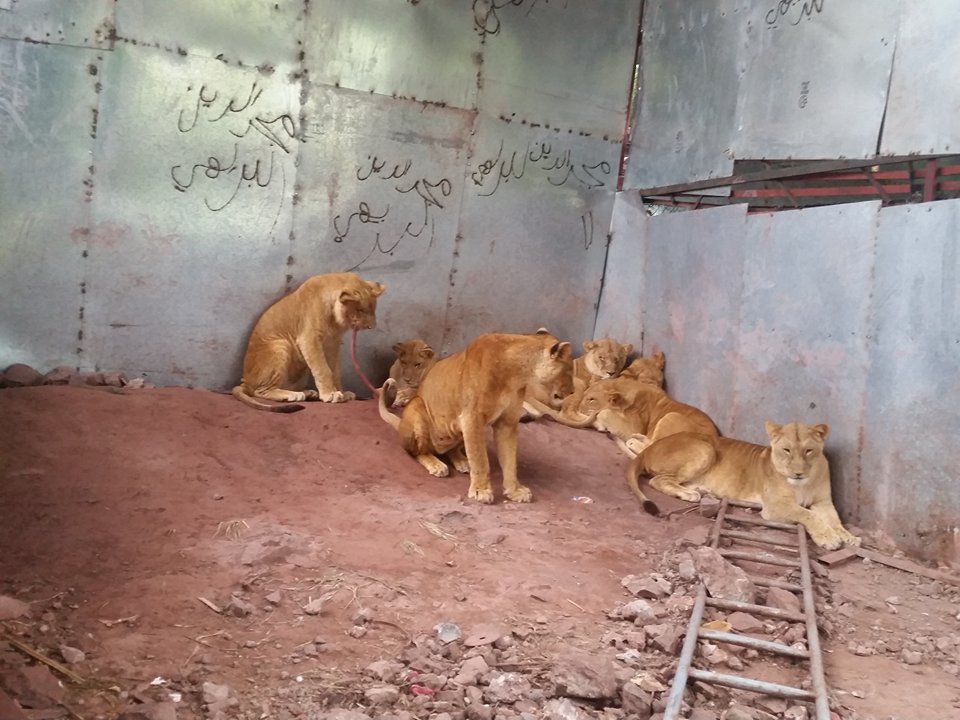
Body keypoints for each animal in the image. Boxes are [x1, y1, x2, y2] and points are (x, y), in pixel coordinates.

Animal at [231, 272, 384, 414]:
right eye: (361, 310)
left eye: (373, 310)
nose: (372, 327)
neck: (334, 319)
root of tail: (245, 381)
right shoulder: (309, 339)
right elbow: (323, 369)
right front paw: (331, 393)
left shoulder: (332, 343)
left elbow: (335, 370)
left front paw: (342, 392)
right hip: (281, 344)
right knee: (261, 391)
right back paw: (293, 395)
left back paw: (307, 393)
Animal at [376, 330, 568, 500]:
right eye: (568, 371)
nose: (571, 392)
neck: (516, 374)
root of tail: (400, 424)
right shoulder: (471, 418)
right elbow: (480, 458)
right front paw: (481, 491)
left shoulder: (507, 422)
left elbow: (509, 459)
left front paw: (515, 491)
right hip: (418, 408)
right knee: (418, 452)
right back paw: (436, 465)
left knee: (452, 449)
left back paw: (462, 461)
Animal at [628, 420, 860, 548]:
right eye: (786, 450)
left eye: (808, 451)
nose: (798, 472)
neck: (804, 482)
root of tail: (650, 447)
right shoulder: (775, 506)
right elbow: (808, 515)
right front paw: (828, 538)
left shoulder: (823, 502)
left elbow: (834, 519)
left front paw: (847, 536)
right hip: (705, 449)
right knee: (658, 480)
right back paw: (689, 494)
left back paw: (700, 489)